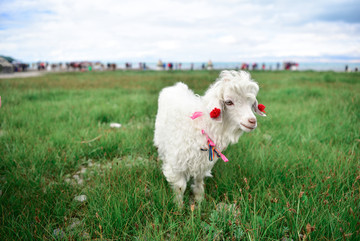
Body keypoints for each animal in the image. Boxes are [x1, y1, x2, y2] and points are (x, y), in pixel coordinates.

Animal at [153, 70, 266, 205]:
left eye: (251, 103)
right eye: (229, 102)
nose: (252, 121)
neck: (202, 125)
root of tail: (175, 86)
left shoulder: (202, 162)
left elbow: (199, 183)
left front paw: (199, 202)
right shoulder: (176, 162)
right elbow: (180, 187)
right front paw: (178, 206)